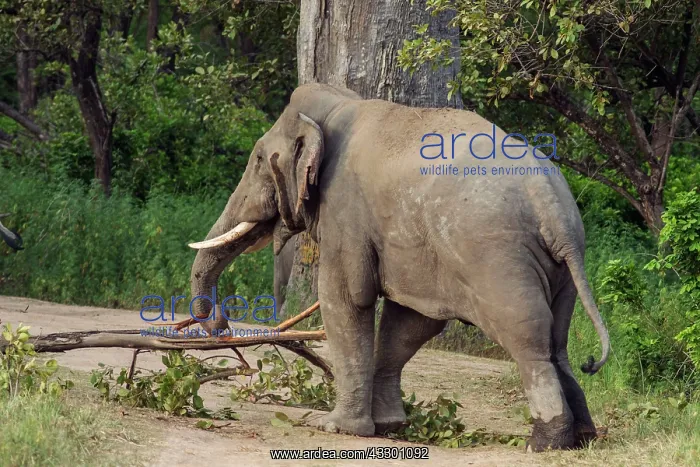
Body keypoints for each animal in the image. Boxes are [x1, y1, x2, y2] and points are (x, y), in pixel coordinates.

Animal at [188, 83, 610, 452]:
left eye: (259, 159)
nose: (222, 325)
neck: (340, 104)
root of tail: (552, 206)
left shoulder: (345, 212)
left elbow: (345, 299)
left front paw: (336, 428)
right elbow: (411, 322)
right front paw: (390, 426)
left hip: (498, 259)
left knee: (528, 339)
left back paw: (542, 444)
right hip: (561, 269)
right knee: (557, 341)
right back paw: (582, 437)